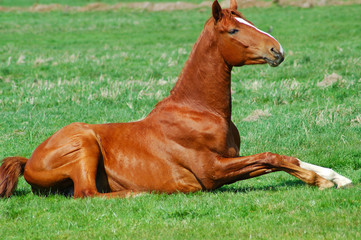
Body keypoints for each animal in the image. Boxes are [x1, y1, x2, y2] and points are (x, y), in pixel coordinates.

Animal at [0, 0, 350, 199]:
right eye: (234, 31)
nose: (277, 50)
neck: (199, 111)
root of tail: (28, 159)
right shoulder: (211, 172)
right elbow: (273, 157)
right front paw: (319, 181)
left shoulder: (230, 162)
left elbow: (284, 158)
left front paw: (335, 177)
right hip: (83, 143)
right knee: (86, 194)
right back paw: (138, 194)